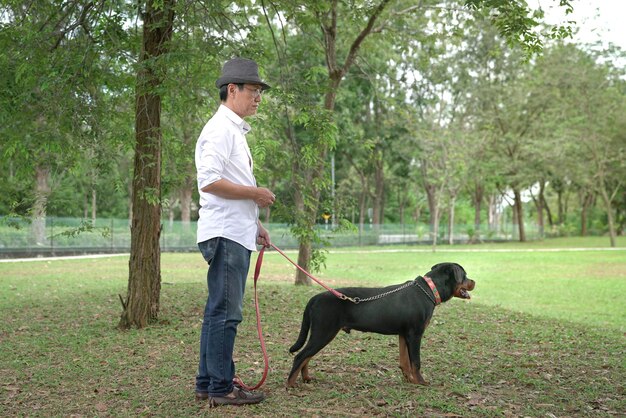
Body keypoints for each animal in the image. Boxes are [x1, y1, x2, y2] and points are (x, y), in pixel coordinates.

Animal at [286, 262, 472, 386]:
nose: (474, 282)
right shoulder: (415, 334)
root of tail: (314, 298)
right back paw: (290, 384)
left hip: (321, 333)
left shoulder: (404, 334)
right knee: (301, 356)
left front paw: (409, 380)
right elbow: (416, 362)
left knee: (306, 357)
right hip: (324, 332)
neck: (429, 290)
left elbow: (405, 361)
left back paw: (306, 378)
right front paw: (421, 382)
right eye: (465, 275)